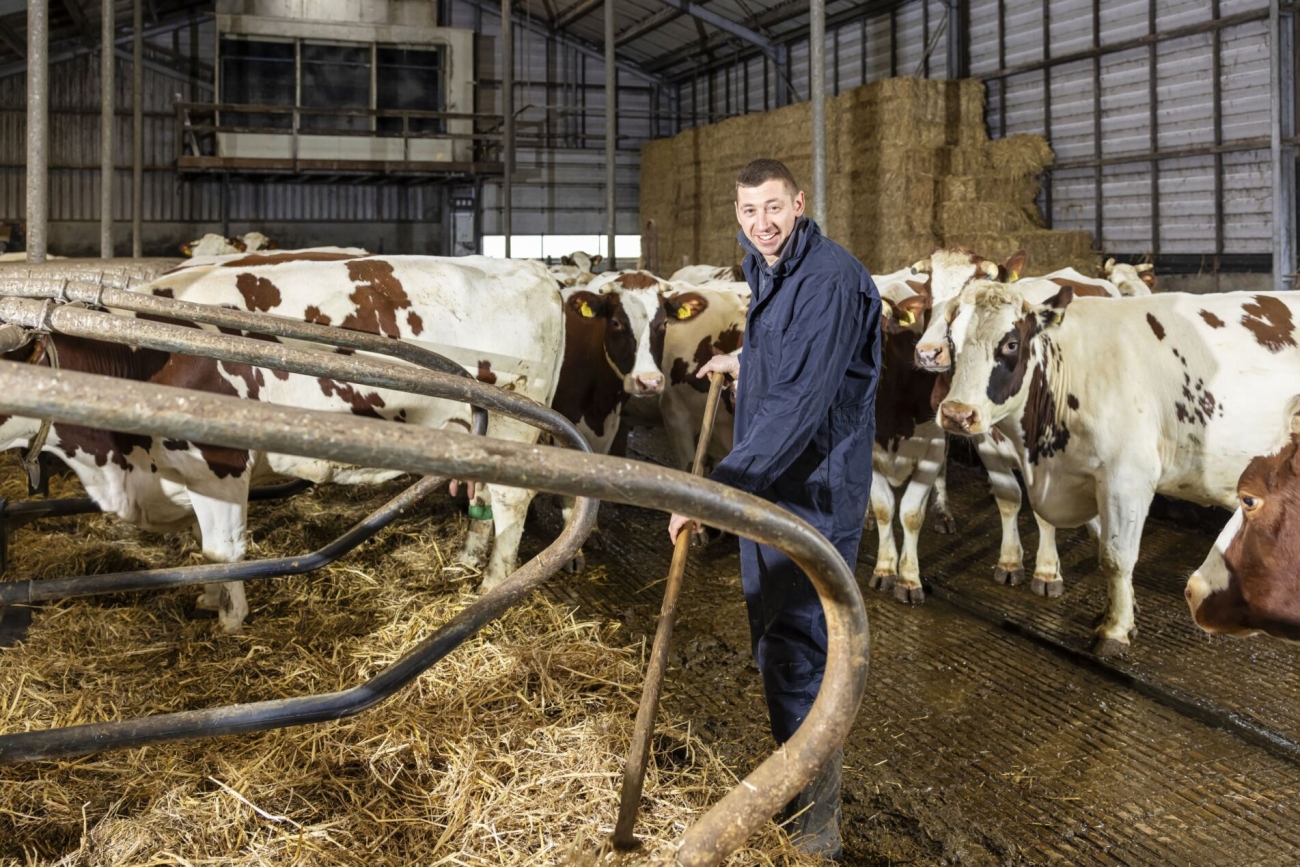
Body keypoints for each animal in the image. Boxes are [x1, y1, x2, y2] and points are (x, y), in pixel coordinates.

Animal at [930, 282, 1300, 655]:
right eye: (952, 341)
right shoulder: (1090, 478)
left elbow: (1116, 556)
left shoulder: (1126, 478)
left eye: (1010, 343)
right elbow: (1100, 541)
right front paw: (1123, 609)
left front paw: (1115, 630)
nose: (957, 414)